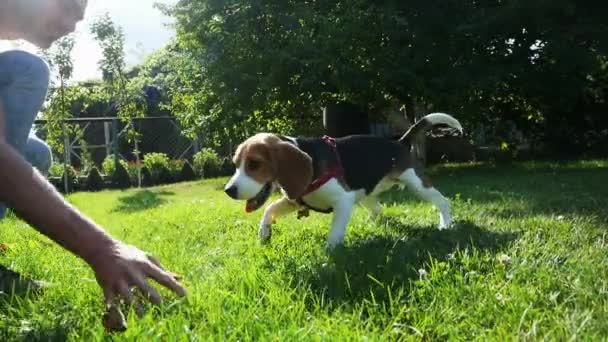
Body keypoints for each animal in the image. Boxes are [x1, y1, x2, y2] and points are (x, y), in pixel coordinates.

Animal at [226, 113, 464, 247]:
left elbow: (335, 232)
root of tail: (400, 142)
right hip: (367, 195)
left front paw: (330, 253)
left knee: (442, 201)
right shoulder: (295, 199)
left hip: (416, 183)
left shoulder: (343, 200)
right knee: (378, 210)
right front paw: (264, 233)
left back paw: (445, 224)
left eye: (254, 164)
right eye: (235, 163)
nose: (229, 190)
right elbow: (269, 210)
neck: (310, 159)